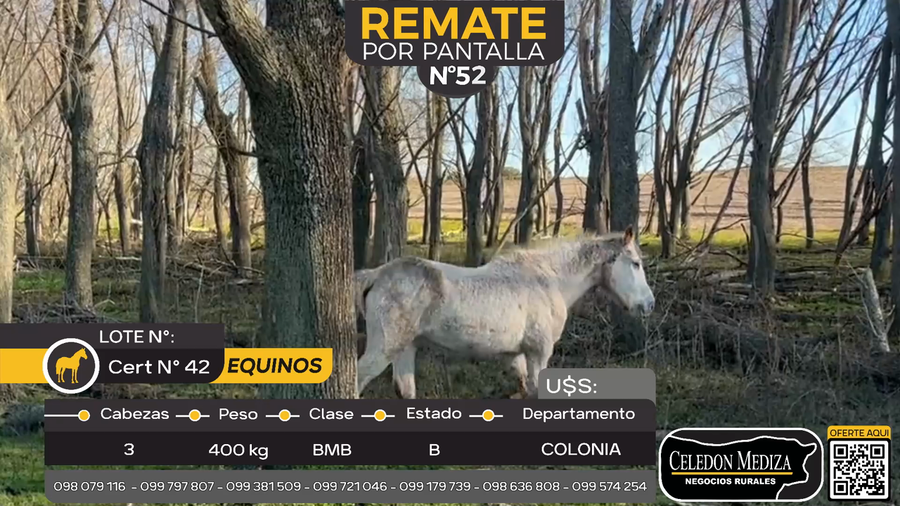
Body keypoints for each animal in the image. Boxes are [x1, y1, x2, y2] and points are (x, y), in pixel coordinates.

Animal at [354, 226, 655, 400]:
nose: (649, 304)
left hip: (406, 347)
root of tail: (376, 275)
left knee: (405, 390)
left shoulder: (515, 355)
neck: (547, 279)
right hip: (385, 348)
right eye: (636, 264)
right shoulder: (538, 353)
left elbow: (524, 389)